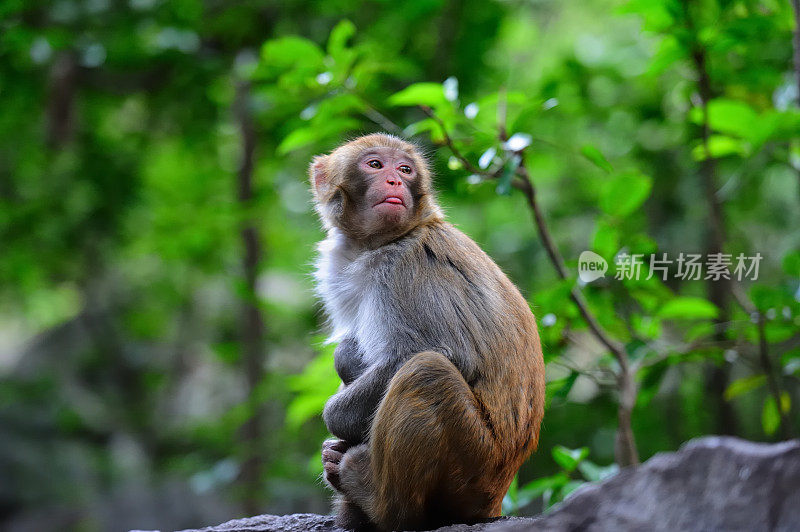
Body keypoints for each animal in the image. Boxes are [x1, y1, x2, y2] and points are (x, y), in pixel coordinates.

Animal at [310, 134, 548, 532]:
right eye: (375, 165)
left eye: (405, 169)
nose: (395, 180)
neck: (383, 243)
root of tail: (495, 499)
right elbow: (348, 355)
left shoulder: (406, 270)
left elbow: (442, 353)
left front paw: (335, 420)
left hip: (474, 465)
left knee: (426, 372)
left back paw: (375, 499)